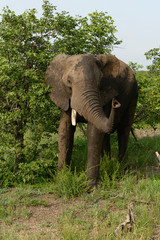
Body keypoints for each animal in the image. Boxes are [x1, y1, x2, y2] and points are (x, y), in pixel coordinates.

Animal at [45, 54, 138, 188]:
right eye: (68, 82)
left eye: (100, 82)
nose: (115, 103)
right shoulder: (64, 97)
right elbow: (64, 130)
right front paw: (61, 181)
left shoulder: (104, 94)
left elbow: (93, 132)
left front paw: (91, 187)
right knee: (106, 135)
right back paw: (107, 163)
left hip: (134, 92)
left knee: (124, 130)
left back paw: (118, 167)